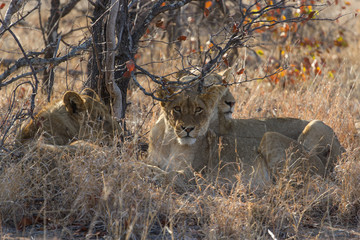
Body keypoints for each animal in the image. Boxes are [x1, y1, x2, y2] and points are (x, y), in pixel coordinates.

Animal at [148, 72, 344, 188]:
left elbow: (172, 174)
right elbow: (149, 166)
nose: (188, 129)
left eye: (198, 109)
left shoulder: (195, 174)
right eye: (177, 109)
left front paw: (156, 177)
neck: (169, 141)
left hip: (281, 134)